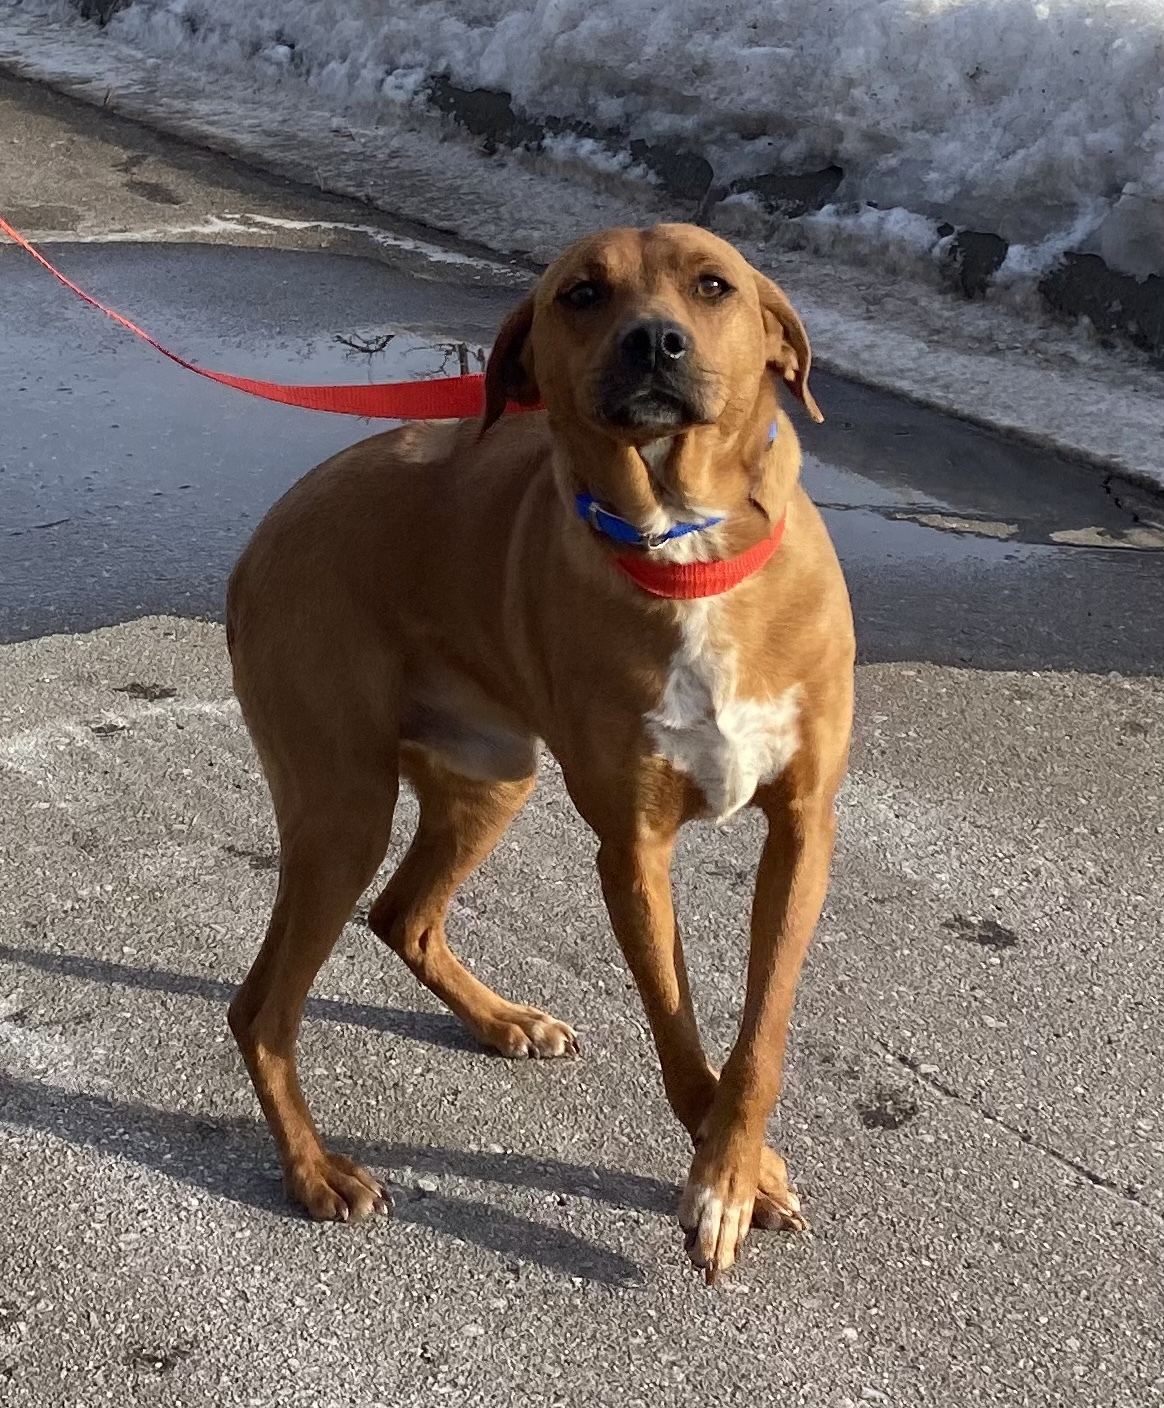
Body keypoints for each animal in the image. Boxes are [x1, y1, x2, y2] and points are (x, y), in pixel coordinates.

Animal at [228, 216, 861, 1278]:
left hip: (495, 778)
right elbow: (676, 1021)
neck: (686, 550)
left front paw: (736, 1167)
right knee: (262, 1010)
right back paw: (317, 1172)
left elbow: (760, 1032)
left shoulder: (803, 827)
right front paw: (727, 1176)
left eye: (713, 285)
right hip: (342, 812)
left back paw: (500, 1022)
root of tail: (264, 533)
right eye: (582, 295)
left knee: (403, 916)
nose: (655, 343)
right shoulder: (633, 848)